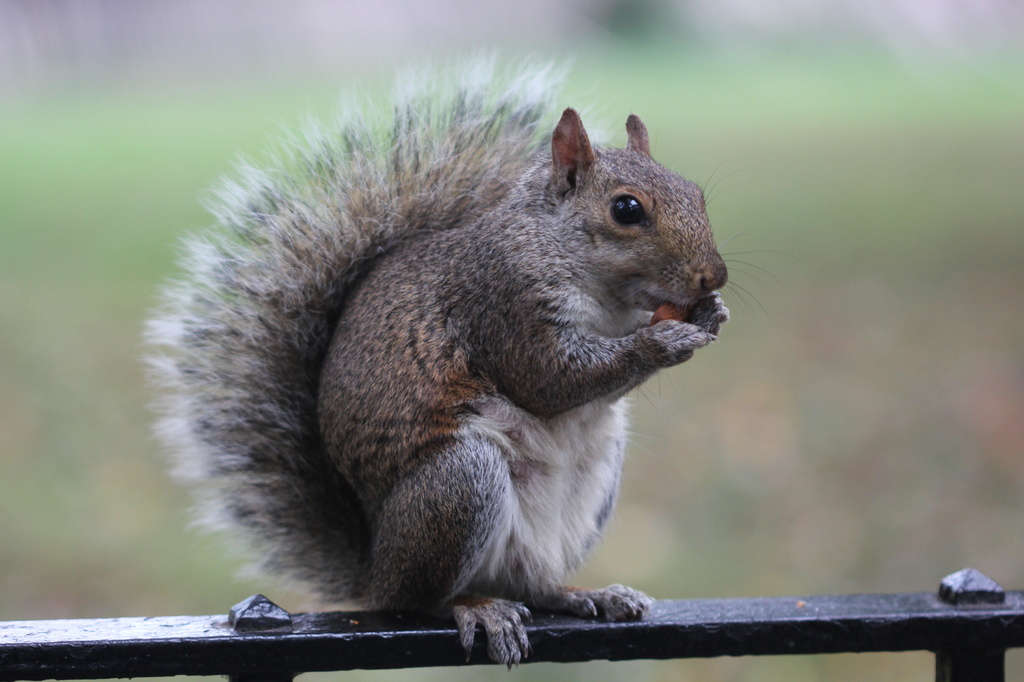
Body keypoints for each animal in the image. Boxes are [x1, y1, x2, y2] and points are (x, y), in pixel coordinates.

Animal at [149, 63, 729, 663]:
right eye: (626, 209)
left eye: (696, 193)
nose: (715, 276)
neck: (604, 293)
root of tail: (375, 570)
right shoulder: (503, 304)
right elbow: (549, 380)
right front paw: (662, 342)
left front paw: (710, 314)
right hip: (458, 484)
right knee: (422, 599)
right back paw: (476, 608)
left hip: (591, 484)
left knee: (534, 584)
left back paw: (585, 594)